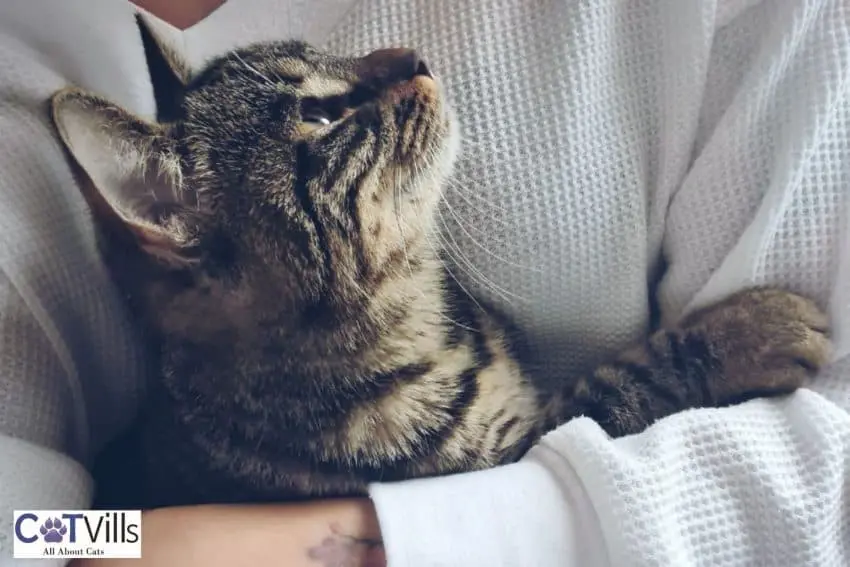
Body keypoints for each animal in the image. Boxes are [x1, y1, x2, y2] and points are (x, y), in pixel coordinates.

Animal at [48, 15, 828, 508]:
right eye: (320, 116)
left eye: (328, 54)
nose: (412, 57)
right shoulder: (514, 458)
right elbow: (616, 387)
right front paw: (751, 328)